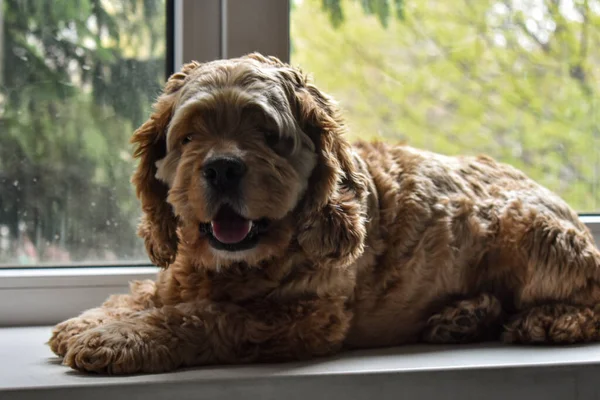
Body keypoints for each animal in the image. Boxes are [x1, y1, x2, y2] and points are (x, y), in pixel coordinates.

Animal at [49, 54, 600, 376]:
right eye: (189, 135)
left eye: (268, 134)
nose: (223, 168)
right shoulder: (182, 275)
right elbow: (145, 294)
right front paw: (92, 322)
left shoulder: (304, 317)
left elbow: (201, 315)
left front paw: (120, 337)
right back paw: (463, 317)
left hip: (528, 229)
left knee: (587, 301)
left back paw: (547, 320)